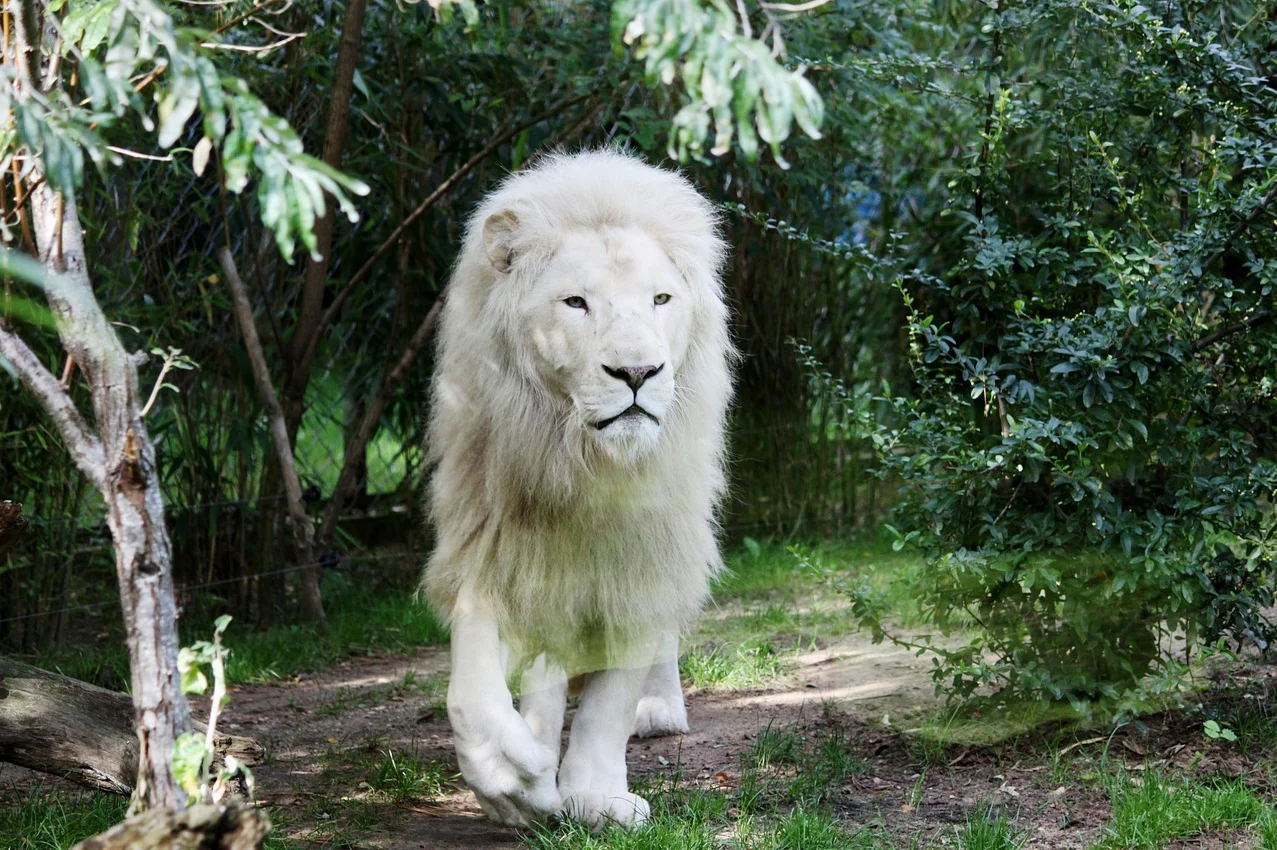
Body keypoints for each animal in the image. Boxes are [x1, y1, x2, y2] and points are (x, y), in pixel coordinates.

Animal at [423, 148, 735, 821]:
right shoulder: (491, 540)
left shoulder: (644, 556)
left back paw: (659, 711)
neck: (585, 465)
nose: (638, 372)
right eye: (575, 303)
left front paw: (596, 796)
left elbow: (609, 702)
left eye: (661, 299)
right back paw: (538, 738)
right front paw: (511, 777)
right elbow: (472, 682)